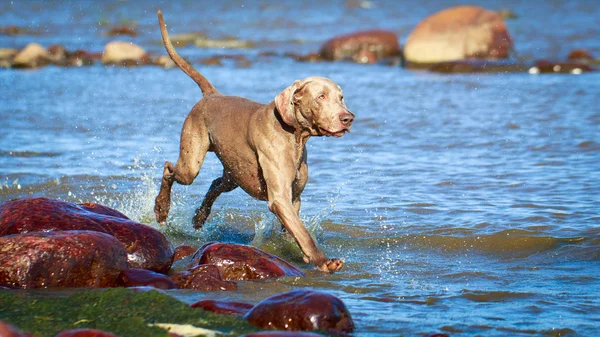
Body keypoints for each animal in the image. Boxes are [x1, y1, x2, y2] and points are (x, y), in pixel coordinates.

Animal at [152, 10, 354, 272]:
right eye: (321, 96)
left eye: (341, 98)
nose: (348, 118)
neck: (295, 137)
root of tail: (211, 95)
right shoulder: (280, 198)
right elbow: (303, 233)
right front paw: (323, 261)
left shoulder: (294, 197)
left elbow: (293, 231)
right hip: (191, 164)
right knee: (169, 169)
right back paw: (161, 208)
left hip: (234, 174)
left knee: (215, 183)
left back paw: (199, 217)